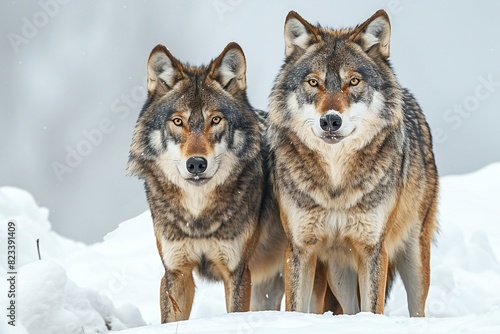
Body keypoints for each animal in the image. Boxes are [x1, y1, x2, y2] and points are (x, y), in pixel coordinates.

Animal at [266, 9, 438, 318]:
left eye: (354, 81)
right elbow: (297, 307)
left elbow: (374, 308)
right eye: (313, 82)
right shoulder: (300, 249)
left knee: (417, 309)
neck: (336, 185)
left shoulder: (372, 249)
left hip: (415, 259)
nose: (330, 120)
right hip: (339, 270)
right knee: (351, 308)